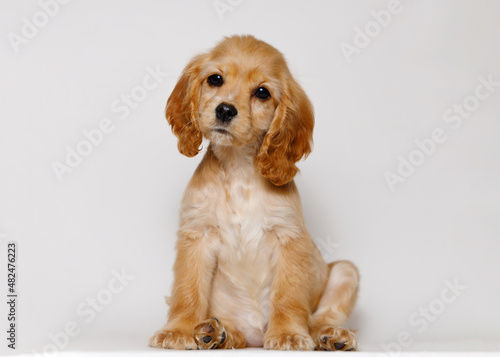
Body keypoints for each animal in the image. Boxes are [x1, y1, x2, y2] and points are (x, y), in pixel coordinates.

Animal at [149, 34, 360, 350]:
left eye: (262, 92)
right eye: (215, 79)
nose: (225, 110)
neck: (239, 168)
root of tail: (256, 337)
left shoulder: (289, 237)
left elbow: (288, 295)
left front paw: (287, 333)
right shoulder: (197, 234)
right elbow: (187, 290)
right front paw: (179, 330)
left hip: (346, 270)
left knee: (321, 319)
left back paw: (332, 336)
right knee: (235, 334)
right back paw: (216, 333)